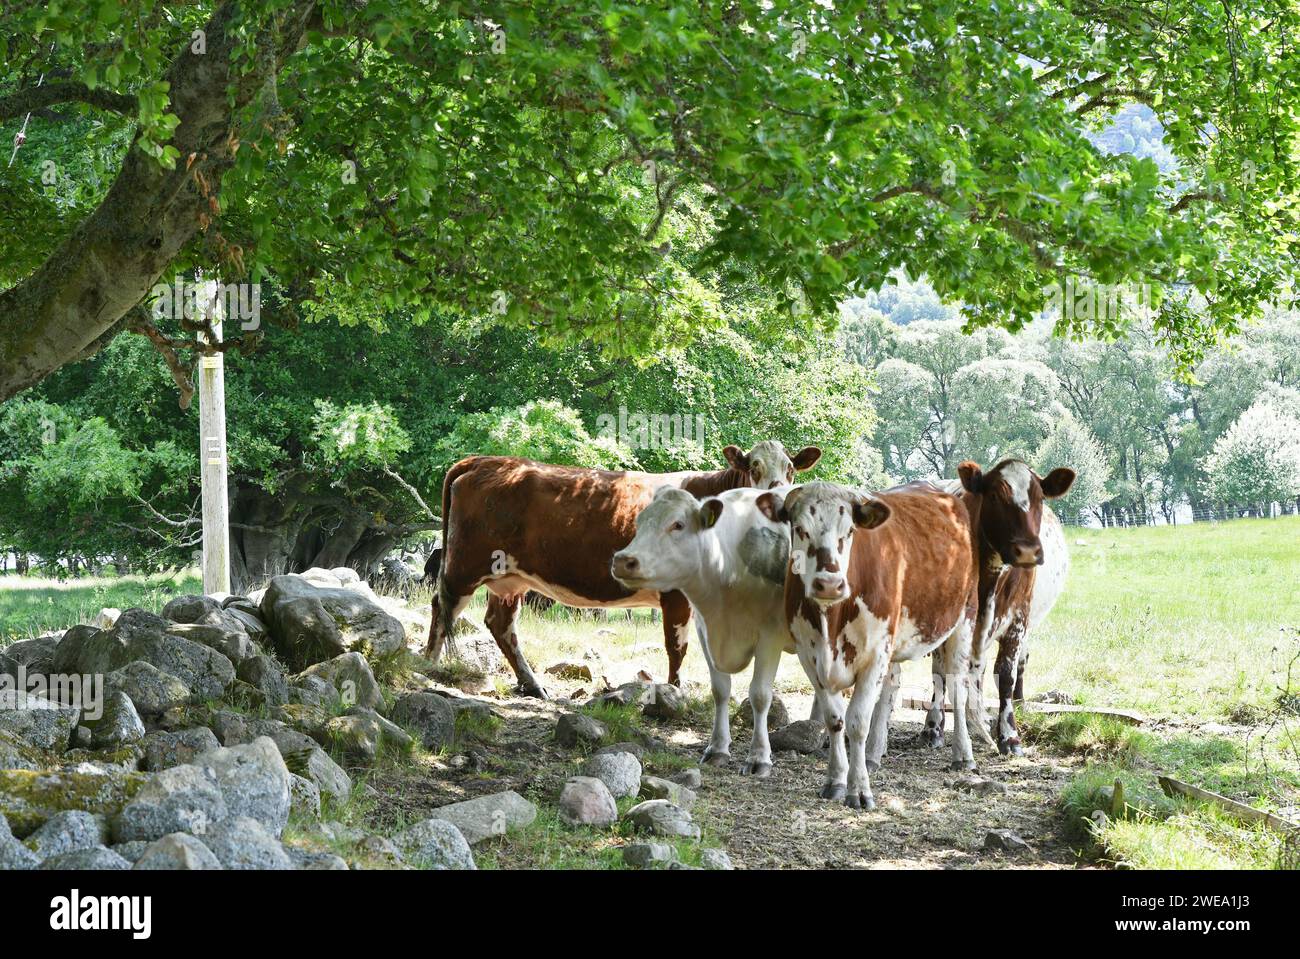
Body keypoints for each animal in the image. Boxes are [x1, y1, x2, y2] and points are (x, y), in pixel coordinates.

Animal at [421, 439, 816, 696]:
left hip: (510, 577)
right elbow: (677, 646)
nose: (778, 497)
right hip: (464, 565)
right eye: (754, 467)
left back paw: (532, 685)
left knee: (500, 624)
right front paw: (675, 693)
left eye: (791, 468)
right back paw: (428, 668)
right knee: (443, 608)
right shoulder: (676, 594)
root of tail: (483, 460)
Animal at [608, 480, 811, 774]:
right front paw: (717, 749)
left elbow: (760, 695)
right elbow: (720, 690)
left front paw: (758, 757)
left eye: (678, 524)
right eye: (640, 521)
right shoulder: (705, 631)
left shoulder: (769, 636)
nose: (623, 560)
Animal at [759, 478, 977, 805]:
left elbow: (857, 721)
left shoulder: (874, 653)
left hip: (963, 620)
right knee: (890, 689)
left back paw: (963, 755)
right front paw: (836, 780)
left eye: (849, 531)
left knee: (957, 690)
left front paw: (859, 789)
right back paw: (875, 753)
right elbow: (834, 719)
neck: (831, 621)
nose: (829, 584)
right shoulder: (809, 655)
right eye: (799, 528)